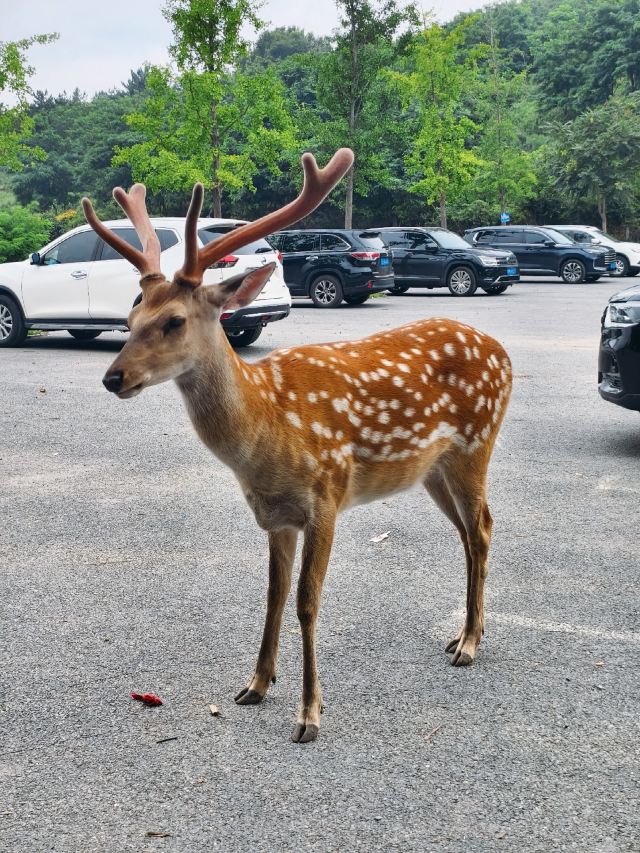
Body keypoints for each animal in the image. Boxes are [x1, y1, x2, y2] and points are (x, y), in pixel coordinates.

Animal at [82, 148, 512, 743]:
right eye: (129, 317)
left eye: (173, 321)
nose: (112, 378)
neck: (266, 433)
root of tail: (505, 355)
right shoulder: (275, 514)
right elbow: (274, 595)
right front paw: (256, 685)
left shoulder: (326, 495)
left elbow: (308, 602)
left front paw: (309, 714)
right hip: (433, 469)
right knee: (470, 533)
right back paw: (464, 634)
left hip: (477, 442)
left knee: (484, 527)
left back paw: (469, 644)